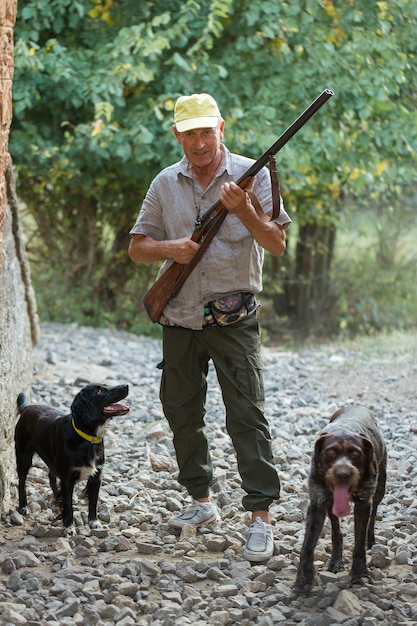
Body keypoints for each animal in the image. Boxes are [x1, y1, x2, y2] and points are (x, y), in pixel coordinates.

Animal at [14, 382, 128, 532]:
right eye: (99, 391)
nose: (127, 386)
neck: (87, 439)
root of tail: (27, 407)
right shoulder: (68, 479)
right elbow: (68, 507)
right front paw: (68, 527)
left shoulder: (96, 476)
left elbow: (93, 502)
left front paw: (93, 521)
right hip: (23, 456)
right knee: (22, 481)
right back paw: (24, 506)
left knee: (51, 476)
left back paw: (57, 496)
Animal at [294, 402, 386, 592]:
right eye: (330, 452)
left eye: (355, 453)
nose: (343, 474)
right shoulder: (317, 503)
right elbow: (307, 544)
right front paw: (304, 578)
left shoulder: (363, 502)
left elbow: (359, 540)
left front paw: (359, 573)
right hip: (330, 503)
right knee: (336, 531)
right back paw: (336, 560)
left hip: (380, 488)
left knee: (373, 515)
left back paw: (371, 540)